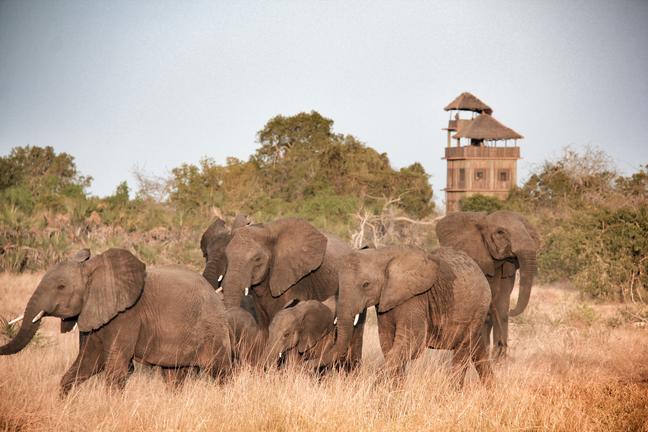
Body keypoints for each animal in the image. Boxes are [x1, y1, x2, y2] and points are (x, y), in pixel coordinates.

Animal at [0, 248, 233, 395]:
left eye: (61, 287)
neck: (96, 270)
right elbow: (88, 363)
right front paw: (63, 405)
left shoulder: (127, 316)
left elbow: (114, 371)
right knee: (174, 376)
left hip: (212, 329)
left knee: (220, 372)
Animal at [320, 246, 492, 384]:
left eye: (366, 285)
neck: (383, 254)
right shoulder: (385, 302)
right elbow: (387, 341)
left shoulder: (414, 298)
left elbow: (412, 341)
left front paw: (376, 384)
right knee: (477, 349)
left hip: (477, 308)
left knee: (462, 351)